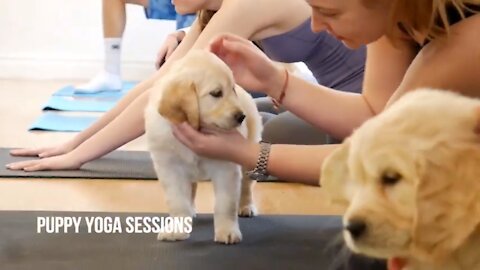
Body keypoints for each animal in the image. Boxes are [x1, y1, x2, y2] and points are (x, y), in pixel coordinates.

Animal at [144, 49, 262, 245]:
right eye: (216, 93)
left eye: (232, 90)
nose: (241, 117)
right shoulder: (169, 168)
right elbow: (177, 201)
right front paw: (177, 229)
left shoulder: (226, 169)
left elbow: (225, 204)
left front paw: (227, 231)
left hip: (249, 154)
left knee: (246, 185)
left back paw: (246, 206)